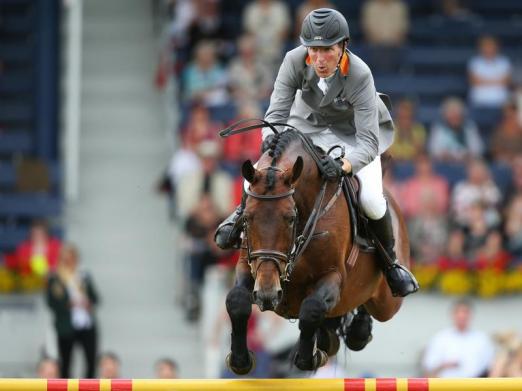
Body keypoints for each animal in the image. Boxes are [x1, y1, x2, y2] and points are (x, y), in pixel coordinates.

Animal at [223, 127, 406, 376]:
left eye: (290, 218)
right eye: (247, 218)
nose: (268, 294)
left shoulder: (334, 275)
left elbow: (312, 308)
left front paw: (309, 358)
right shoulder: (249, 264)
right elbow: (237, 300)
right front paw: (240, 360)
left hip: (386, 302)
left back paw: (362, 325)